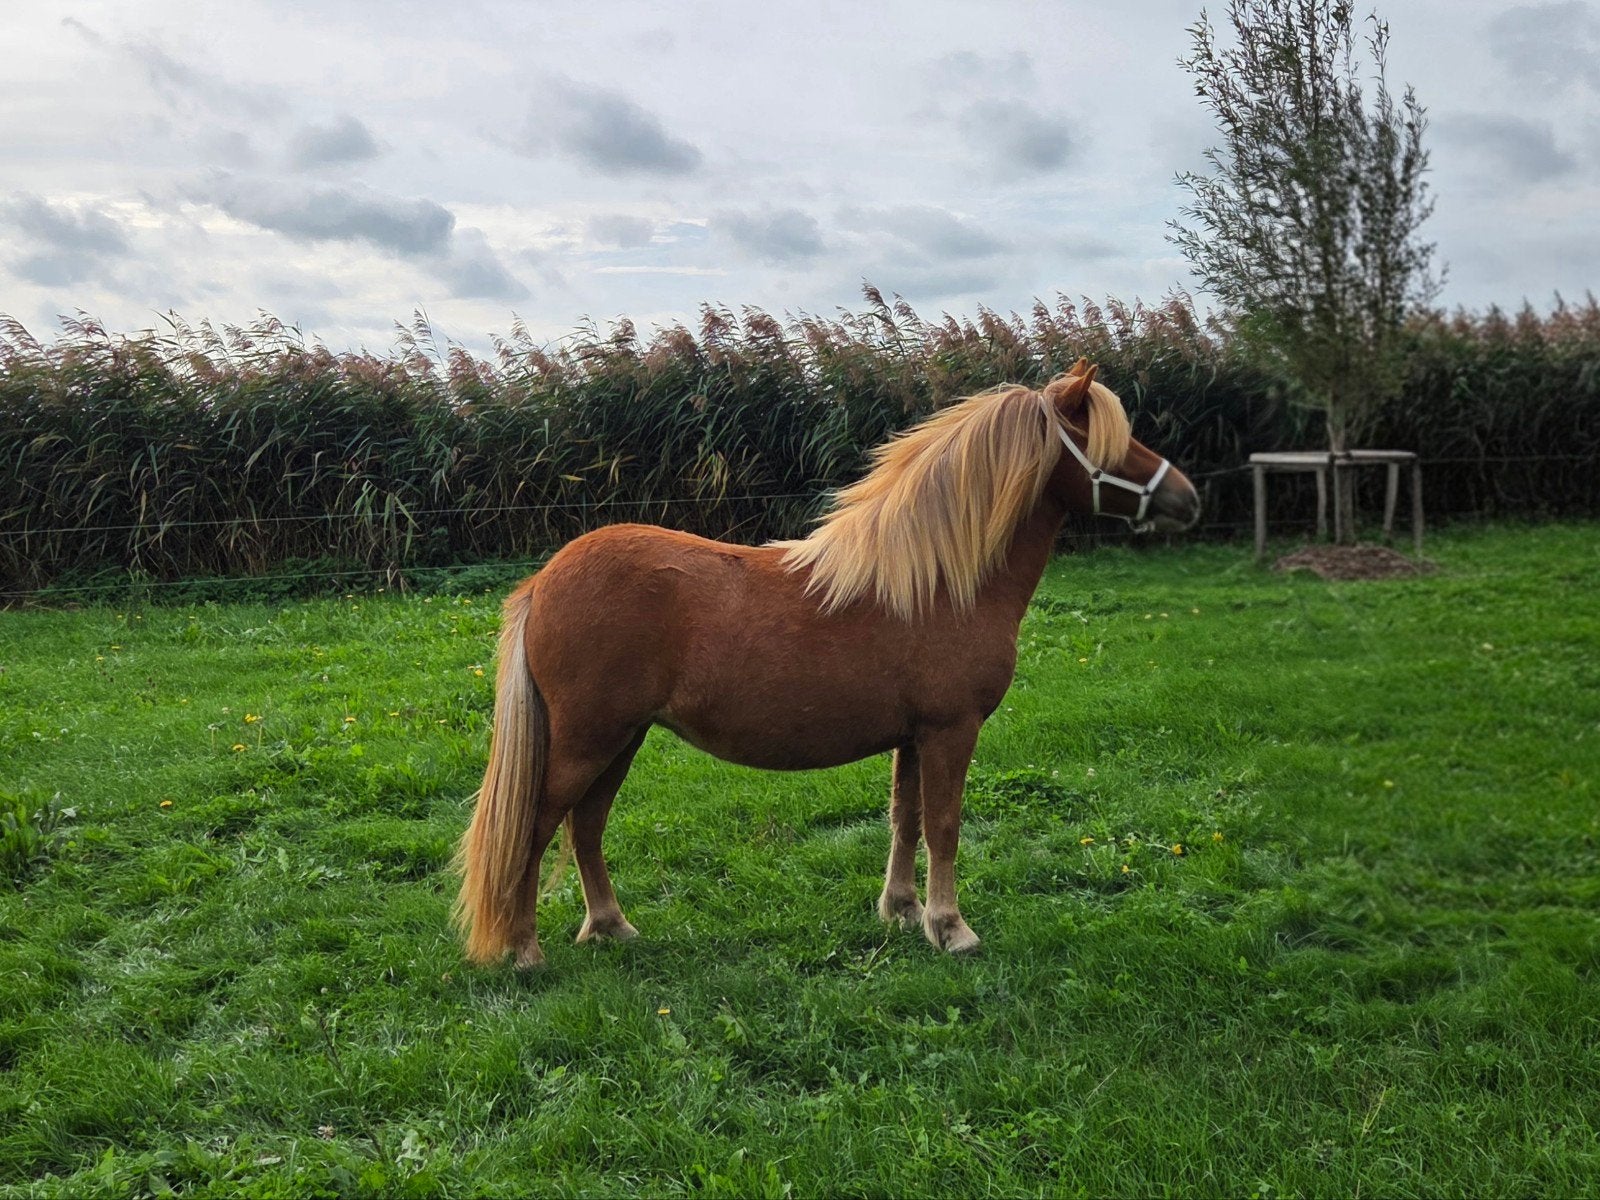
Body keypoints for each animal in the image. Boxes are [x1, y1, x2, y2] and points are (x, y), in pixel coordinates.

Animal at [454, 360, 1200, 967]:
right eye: (1112, 442)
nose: (1188, 499)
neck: (935, 581)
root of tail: (543, 581)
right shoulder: (951, 731)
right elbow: (945, 824)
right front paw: (951, 928)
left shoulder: (914, 736)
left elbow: (906, 819)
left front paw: (901, 911)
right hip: (589, 740)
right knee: (535, 827)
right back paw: (524, 949)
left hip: (621, 738)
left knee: (585, 826)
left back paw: (610, 926)